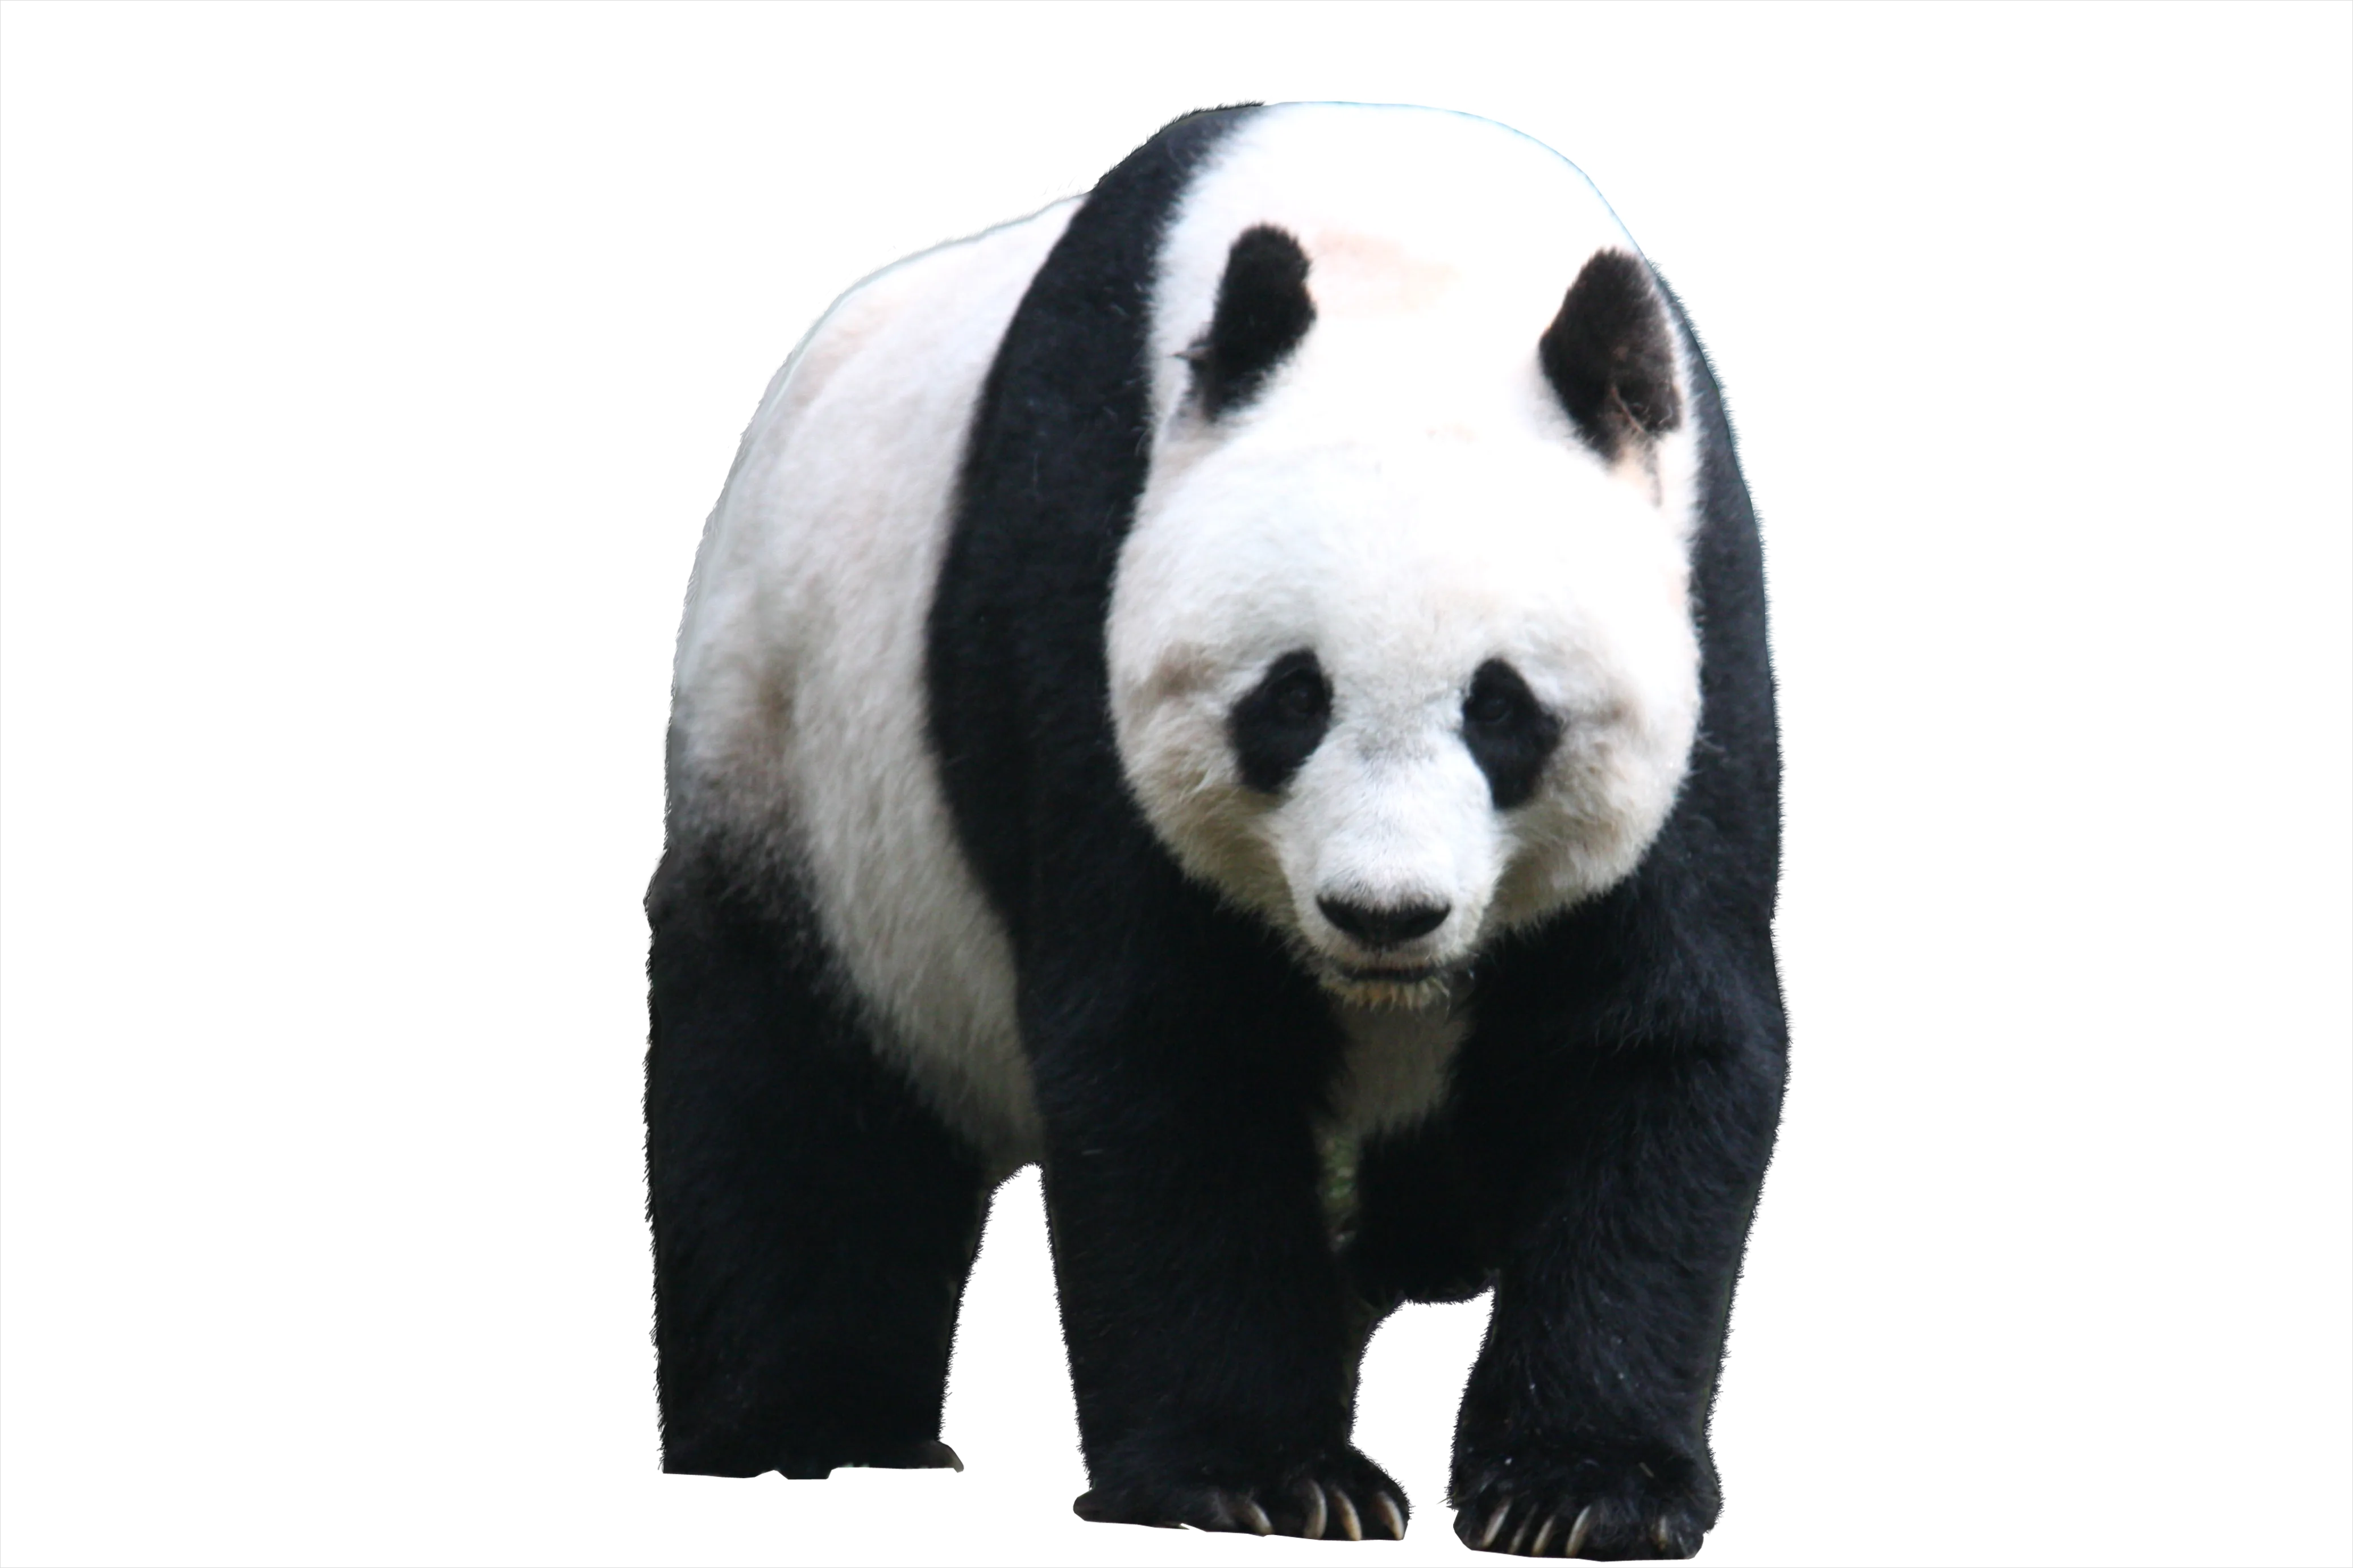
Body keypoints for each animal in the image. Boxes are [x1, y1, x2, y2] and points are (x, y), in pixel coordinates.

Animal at [646, 97, 1793, 1563]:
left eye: (1503, 711)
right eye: (1290, 699)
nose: (1383, 913)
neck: (1408, 255)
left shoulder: (1702, 614)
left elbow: (1642, 1038)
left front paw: (1577, 1486)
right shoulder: (1077, 573)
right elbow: (1172, 1045)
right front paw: (1265, 1478)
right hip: (794, 764)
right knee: (792, 1095)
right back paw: (811, 1429)